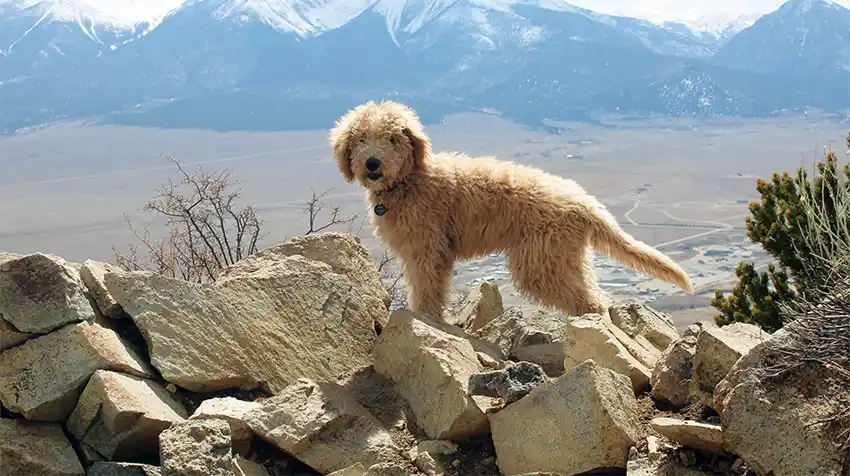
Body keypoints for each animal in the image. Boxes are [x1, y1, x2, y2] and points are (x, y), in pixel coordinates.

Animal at [328, 101, 692, 324]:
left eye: (391, 138)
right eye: (360, 138)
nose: (372, 163)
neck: (409, 180)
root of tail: (583, 200)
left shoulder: (425, 249)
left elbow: (426, 289)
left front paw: (425, 320)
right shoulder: (435, 251)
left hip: (540, 262)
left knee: (589, 302)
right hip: (566, 257)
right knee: (593, 293)